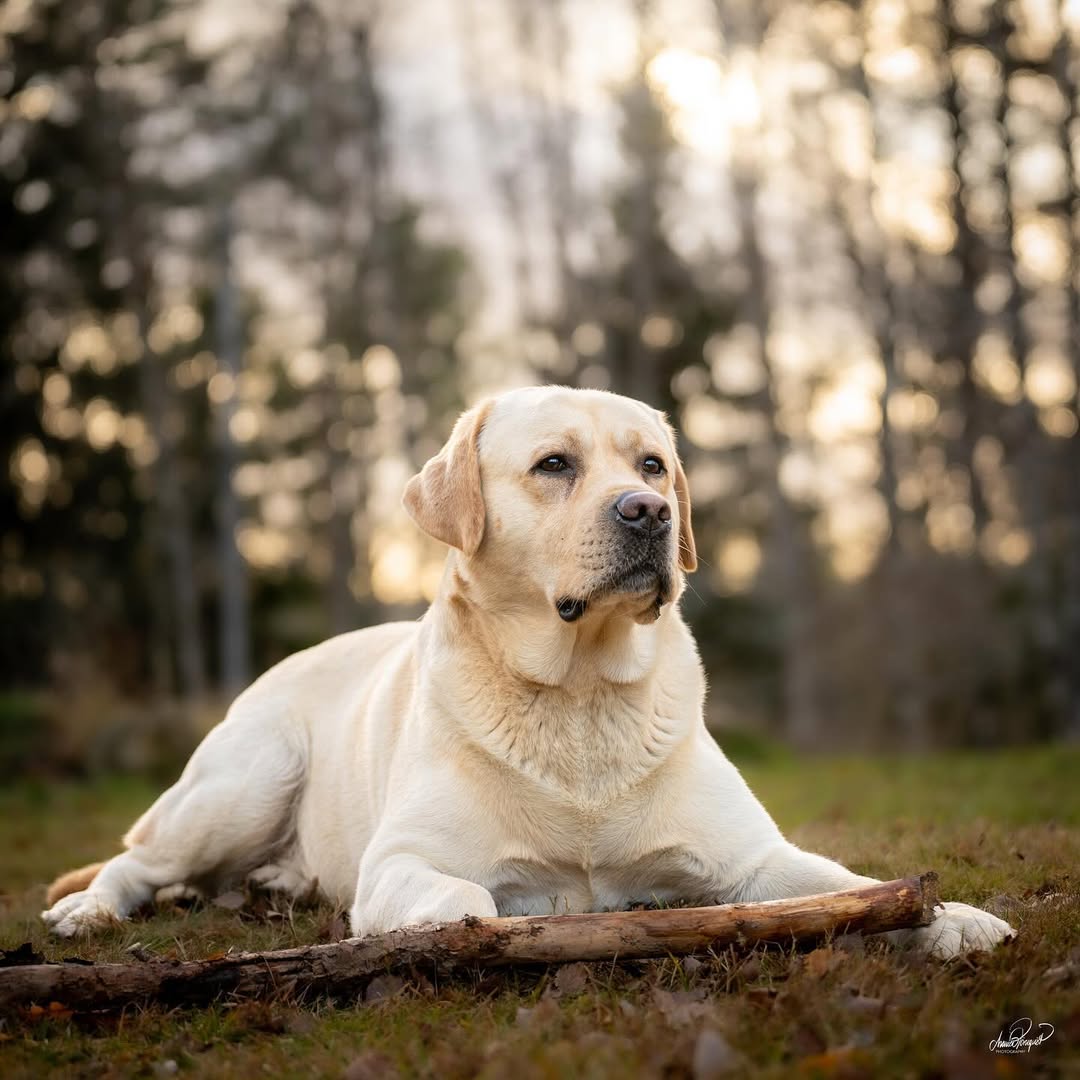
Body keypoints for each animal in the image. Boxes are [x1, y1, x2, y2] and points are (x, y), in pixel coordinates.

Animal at [44, 384, 1010, 959]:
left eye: (653, 464)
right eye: (555, 465)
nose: (650, 511)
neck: (580, 695)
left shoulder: (753, 862)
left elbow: (852, 886)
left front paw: (950, 919)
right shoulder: (403, 860)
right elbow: (462, 890)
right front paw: (505, 919)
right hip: (245, 781)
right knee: (136, 860)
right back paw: (88, 911)